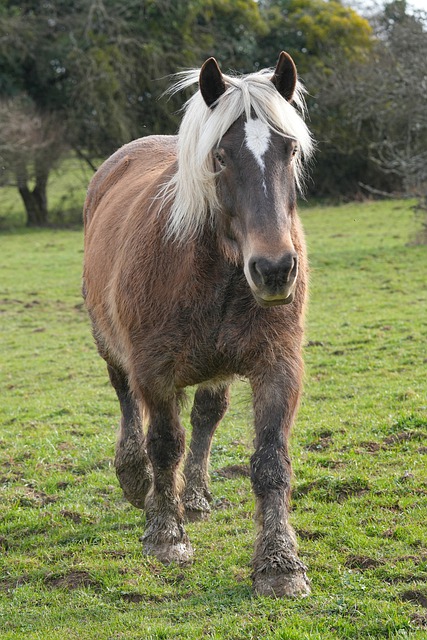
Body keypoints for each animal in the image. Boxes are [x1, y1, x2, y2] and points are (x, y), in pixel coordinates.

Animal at [83, 52, 316, 596]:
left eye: (290, 149)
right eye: (222, 156)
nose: (274, 269)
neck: (215, 272)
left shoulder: (278, 366)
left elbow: (270, 461)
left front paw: (279, 563)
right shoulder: (154, 371)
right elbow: (165, 445)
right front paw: (166, 536)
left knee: (207, 417)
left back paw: (195, 495)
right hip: (111, 347)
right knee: (126, 401)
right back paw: (136, 479)